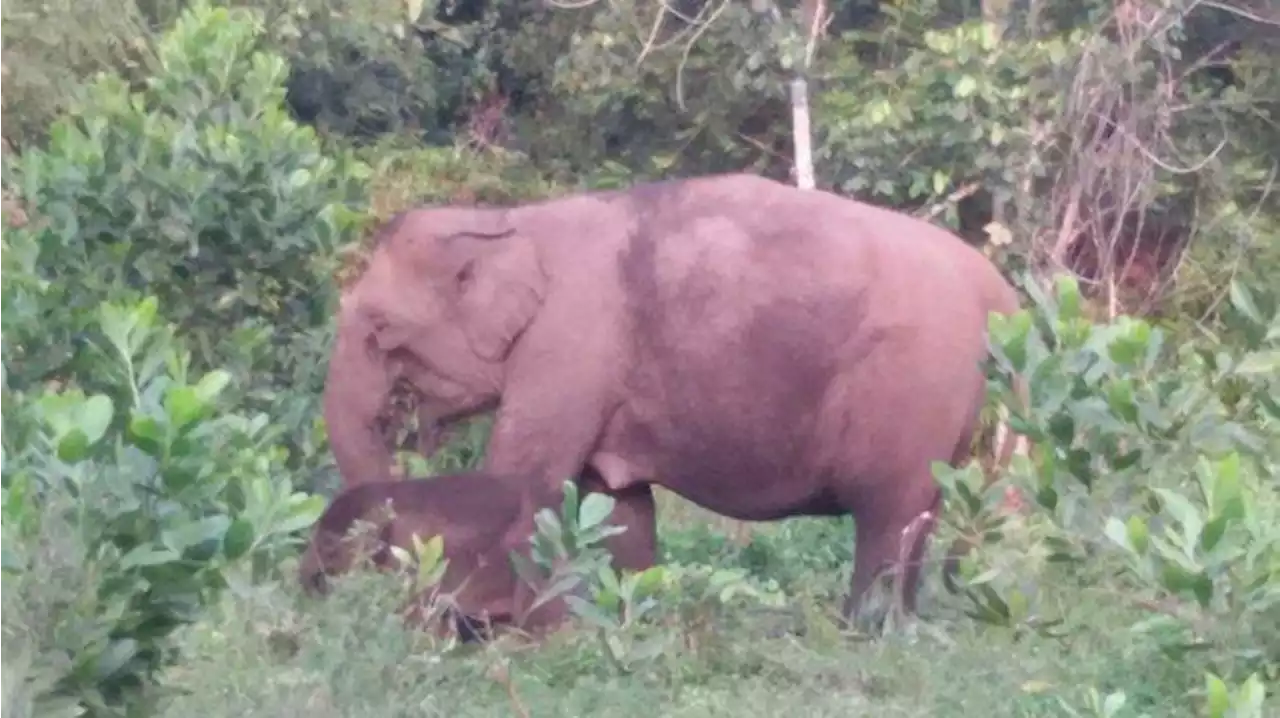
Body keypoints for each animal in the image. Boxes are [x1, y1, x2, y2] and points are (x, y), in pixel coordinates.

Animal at [325, 172, 1024, 622]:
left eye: (381, 331)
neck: (506, 221)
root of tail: (1000, 291)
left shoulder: (570, 343)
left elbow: (524, 481)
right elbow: (621, 508)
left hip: (914, 389)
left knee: (886, 519)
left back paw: (861, 634)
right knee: (919, 521)